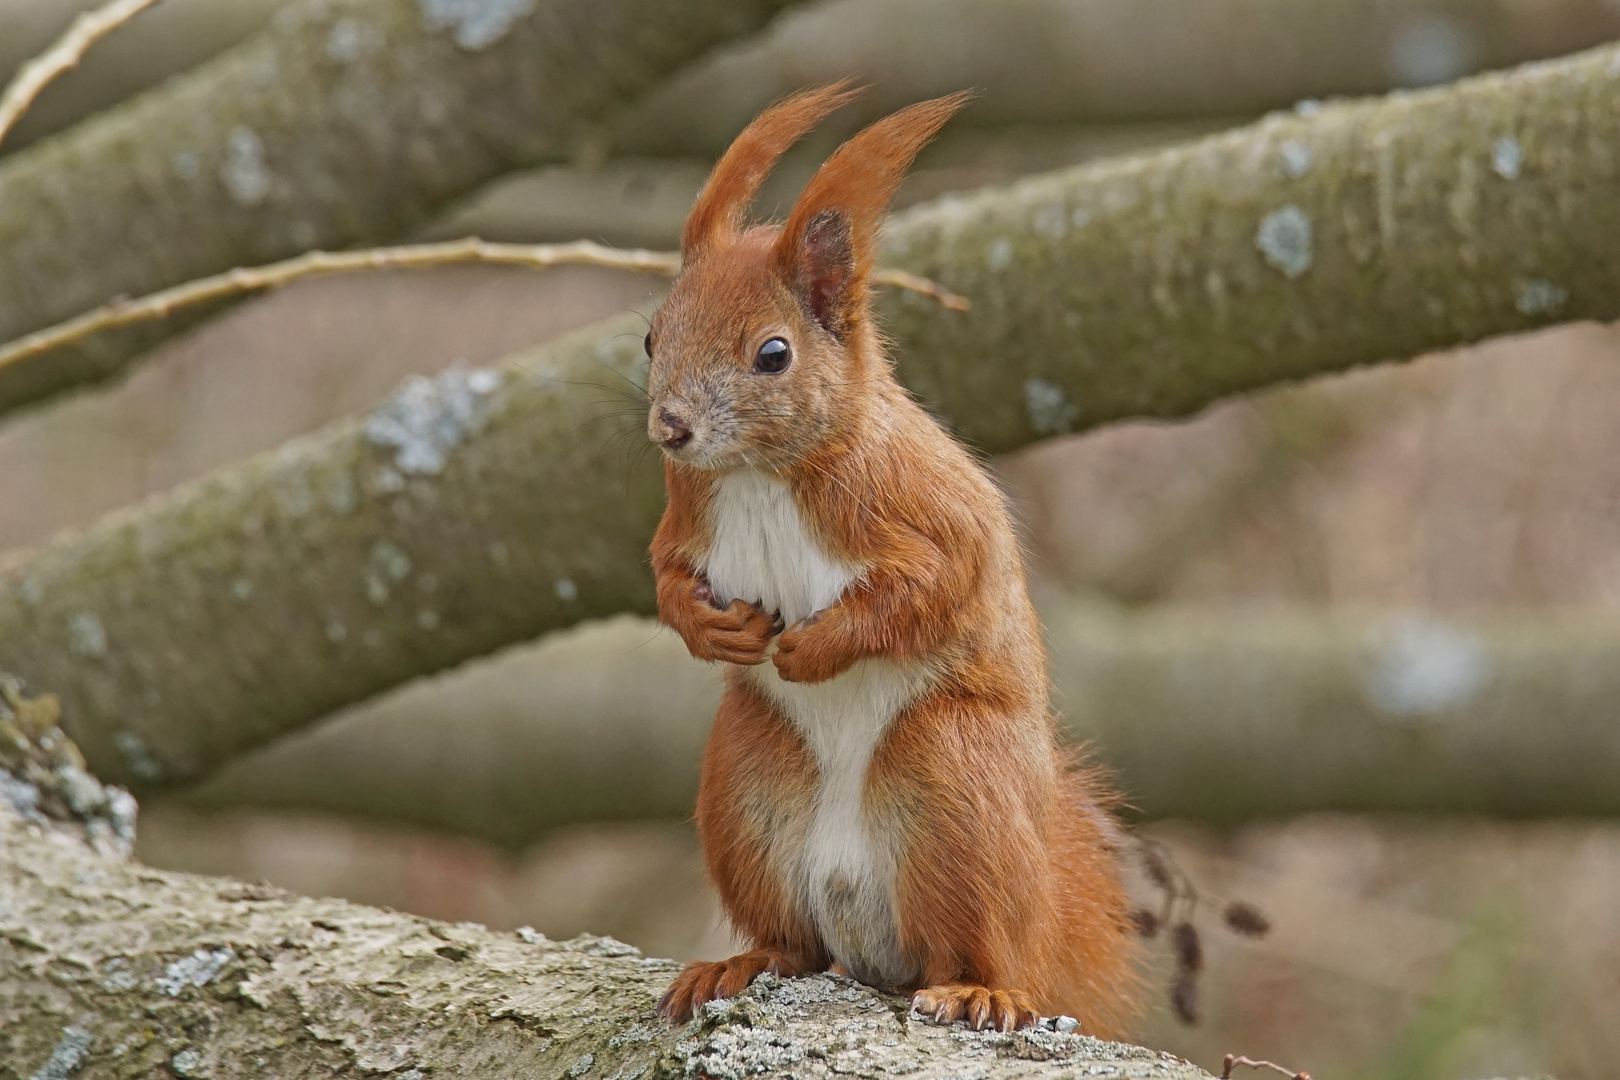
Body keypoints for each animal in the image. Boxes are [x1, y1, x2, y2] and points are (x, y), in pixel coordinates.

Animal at [644, 86, 1140, 1036]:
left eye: (773, 354)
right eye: (651, 337)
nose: (670, 428)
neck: (759, 473)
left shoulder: (921, 508)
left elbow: (934, 586)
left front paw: (815, 647)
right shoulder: (684, 518)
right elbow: (664, 581)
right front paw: (713, 629)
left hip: (953, 779)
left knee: (978, 949)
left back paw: (984, 989)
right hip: (746, 781)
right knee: (795, 942)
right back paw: (744, 961)